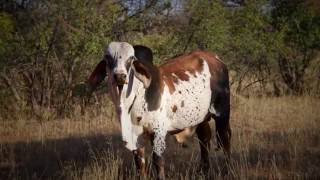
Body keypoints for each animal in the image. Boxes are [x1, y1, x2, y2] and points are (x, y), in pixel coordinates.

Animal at [89, 41, 231, 179]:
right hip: (200, 118)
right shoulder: (135, 136)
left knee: (225, 139)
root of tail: (214, 57)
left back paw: (227, 170)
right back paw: (203, 172)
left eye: (131, 58)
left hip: (222, 111)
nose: (119, 76)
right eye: (107, 57)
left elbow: (158, 161)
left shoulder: (158, 132)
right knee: (204, 139)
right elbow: (140, 164)